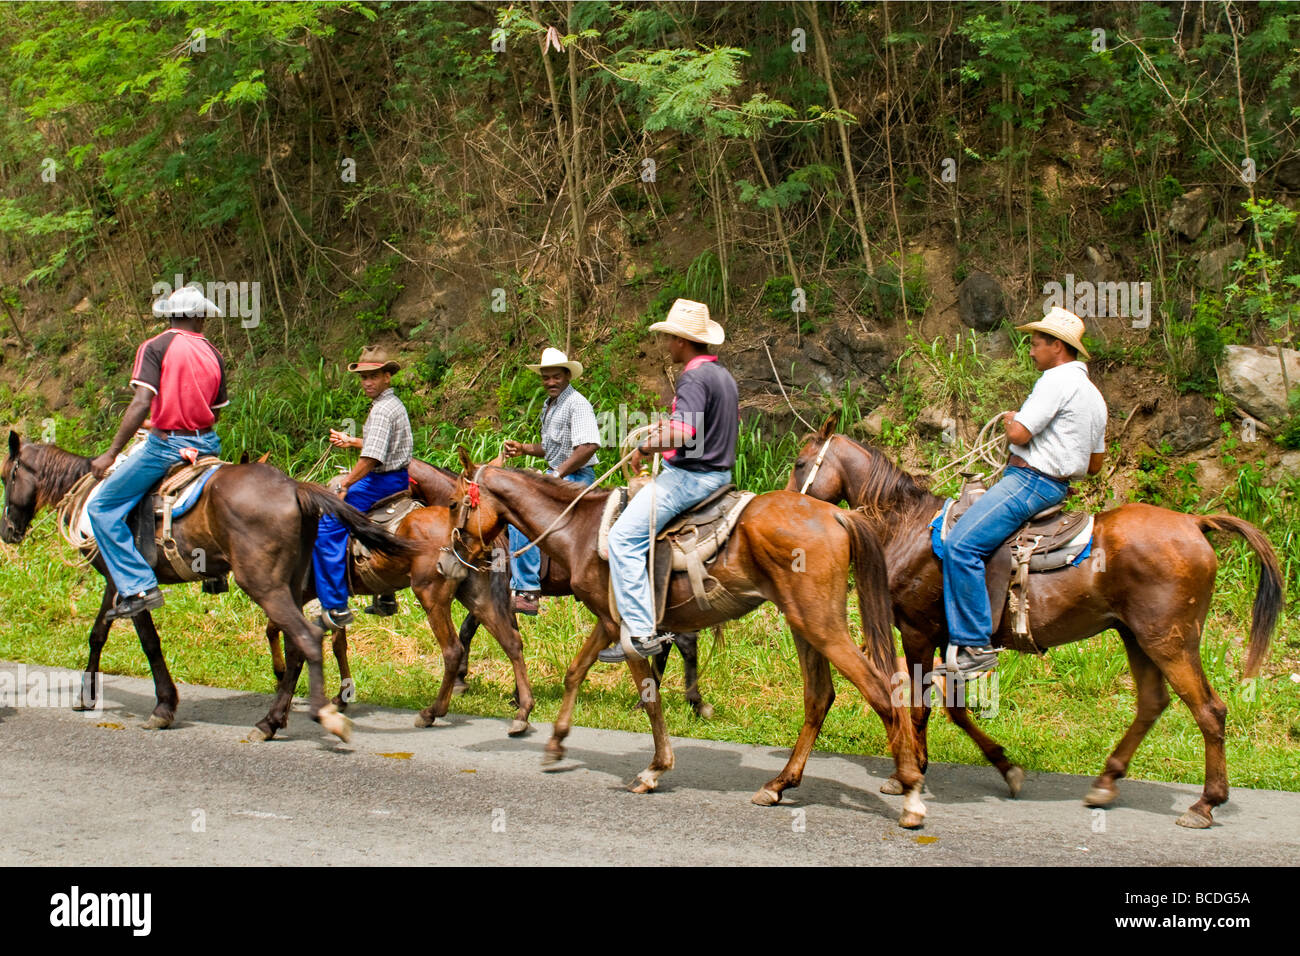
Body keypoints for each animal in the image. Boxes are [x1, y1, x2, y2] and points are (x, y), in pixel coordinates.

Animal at [0, 431, 413, 738]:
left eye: (7, 476)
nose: (8, 531)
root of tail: (296, 488)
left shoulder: (132, 581)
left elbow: (149, 641)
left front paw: (164, 706)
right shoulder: (116, 580)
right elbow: (98, 633)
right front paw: (87, 694)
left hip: (265, 584)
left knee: (307, 638)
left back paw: (305, 716)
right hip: (291, 586)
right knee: (300, 643)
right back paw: (278, 716)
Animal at [441, 447, 930, 832]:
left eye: (454, 503)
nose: (450, 559)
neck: (579, 527)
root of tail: (836, 512)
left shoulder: (629, 629)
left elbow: (649, 696)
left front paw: (654, 769)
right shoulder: (609, 620)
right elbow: (576, 672)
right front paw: (557, 742)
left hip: (821, 624)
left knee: (881, 692)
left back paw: (909, 793)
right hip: (804, 623)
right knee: (820, 697)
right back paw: (779, 784)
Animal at [785, 418, 1284, 832]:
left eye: (800, 462)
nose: (787, 506)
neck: (907, 527)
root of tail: (1196, 523)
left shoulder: (918, 631)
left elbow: (923, 706)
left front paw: (907, 775)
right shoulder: (949, 639)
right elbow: (955, 708)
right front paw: (1000, 766)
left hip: (1170, 641)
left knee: (1209, 710)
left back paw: (1205, 804)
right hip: (1137, 637)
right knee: (1152, 703)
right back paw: (1107, 781)